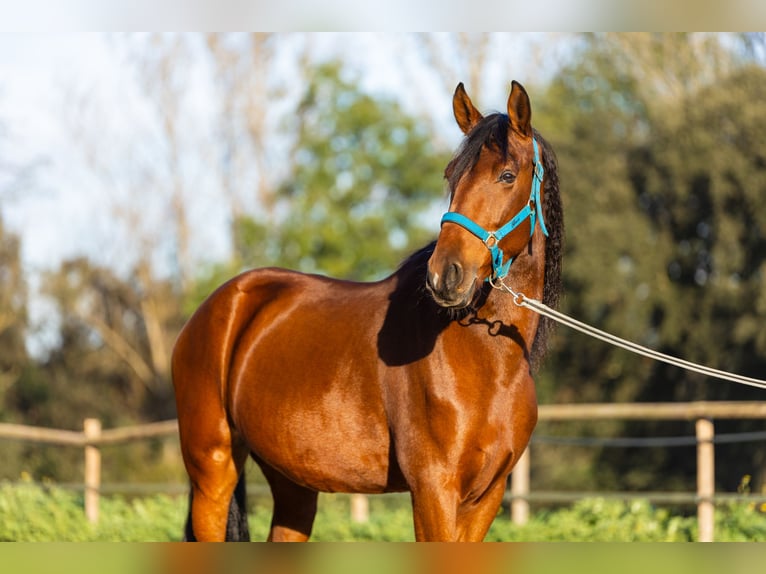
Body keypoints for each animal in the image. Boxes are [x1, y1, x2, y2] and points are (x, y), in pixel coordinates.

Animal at [176, 81, 568, 544]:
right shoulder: (433, 488)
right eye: (451, 174)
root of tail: (221, 304)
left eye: (507, 175)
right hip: (212, 469)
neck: (485, 362)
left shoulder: (486, 496)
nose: (445, 275)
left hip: (292, 481)